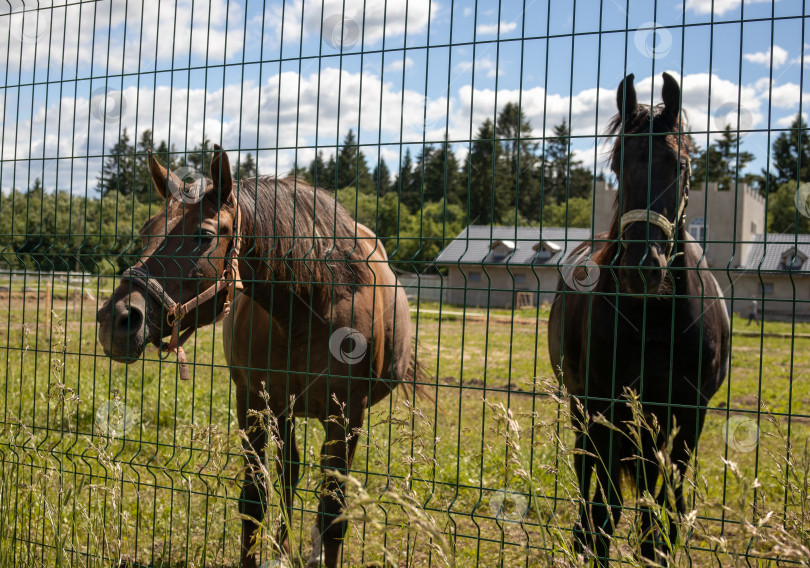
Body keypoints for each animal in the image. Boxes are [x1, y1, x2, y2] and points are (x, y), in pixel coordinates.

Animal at [98, 148, 420, 568]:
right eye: (144, 233)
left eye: (203, 236)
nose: (116, 321)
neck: (308, 310)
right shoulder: (252, 399)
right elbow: (255, 500)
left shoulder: (348, 413)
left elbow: (333, 515)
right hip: (283, 410)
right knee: (289, 474)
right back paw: (282, 550)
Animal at [548, 73, 728, 564]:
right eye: (617, 163)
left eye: (681, 165)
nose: (641, 267)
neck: (655, 316)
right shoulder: (608, 407)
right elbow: (607, 509)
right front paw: (593, 546)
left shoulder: (687, 415)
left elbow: (664, 514)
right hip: (582, 408)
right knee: (588, 476)